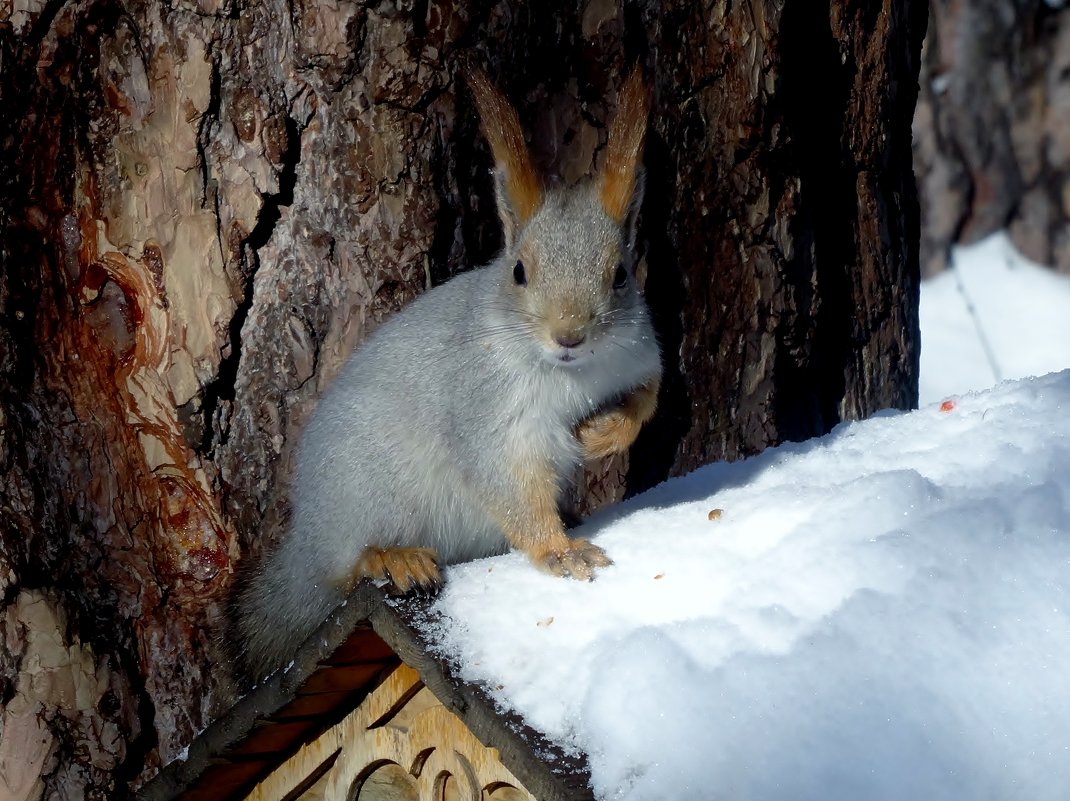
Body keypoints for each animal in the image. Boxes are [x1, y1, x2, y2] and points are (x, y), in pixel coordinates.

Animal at [234, 68, 659, 680]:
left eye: (621, 274)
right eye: (518, 272)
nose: (569, 336)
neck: (572, 375)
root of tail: (303, 544)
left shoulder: (639, 352)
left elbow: (647, 398)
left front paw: (603, 433)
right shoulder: (486, 411)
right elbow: (508, 485)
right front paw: (559, 552)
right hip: (364, 494)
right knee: (342, 572)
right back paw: (392, 557)